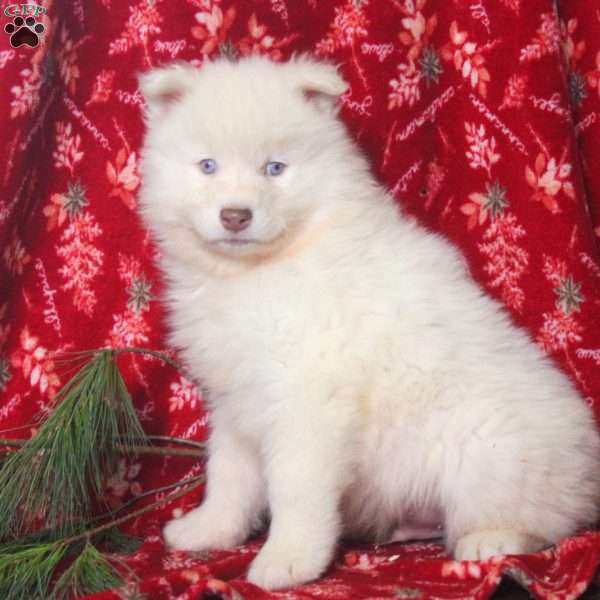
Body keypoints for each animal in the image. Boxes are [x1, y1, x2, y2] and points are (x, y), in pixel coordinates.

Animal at [137, 56, 600, 592]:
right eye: (207, 166)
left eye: (275, 169)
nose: (235, 215)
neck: (258, 270)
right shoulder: (236, 399)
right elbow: (228, 476)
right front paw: (207, 531)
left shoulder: (308, 403)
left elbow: (294, 488)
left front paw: (287, 561)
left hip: (489, 454)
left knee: (545, 520)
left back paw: (492, 541)